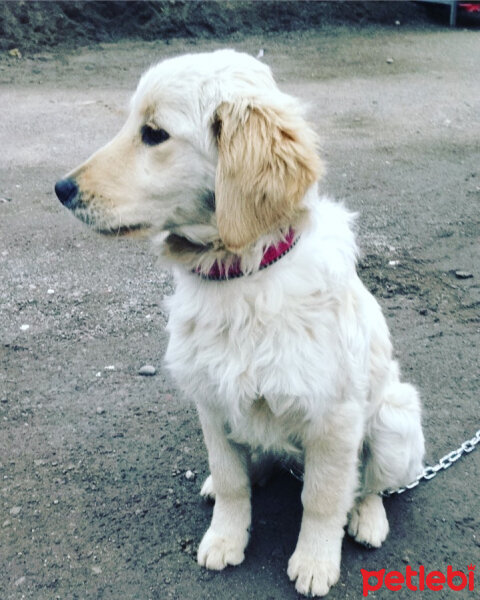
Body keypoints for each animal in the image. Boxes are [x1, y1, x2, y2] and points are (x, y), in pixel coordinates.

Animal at [54, 49, 426, 596]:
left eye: (154, 133)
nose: (61, 189)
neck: (239, 275)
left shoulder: (334, 418)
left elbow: (323, 497)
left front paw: (315, 560)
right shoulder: (210, 398)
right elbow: (231, 480)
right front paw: (226, 537)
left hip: (395, 419)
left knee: (372, 482)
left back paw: (367, 517)